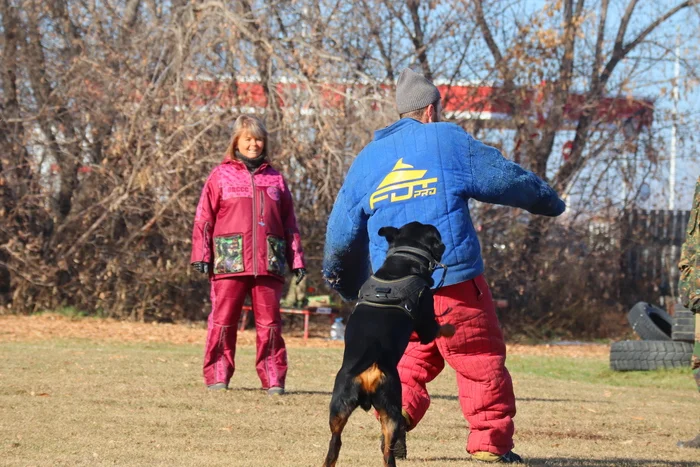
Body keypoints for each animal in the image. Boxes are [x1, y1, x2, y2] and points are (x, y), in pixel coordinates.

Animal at [322, 222, 454, 467]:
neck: (402, 262)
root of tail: (370, 369)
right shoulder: (426, 319)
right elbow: (437, 327)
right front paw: (451, 328)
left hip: (338, 406)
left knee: (335, 442)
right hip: (392, 405)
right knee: (387, 451)